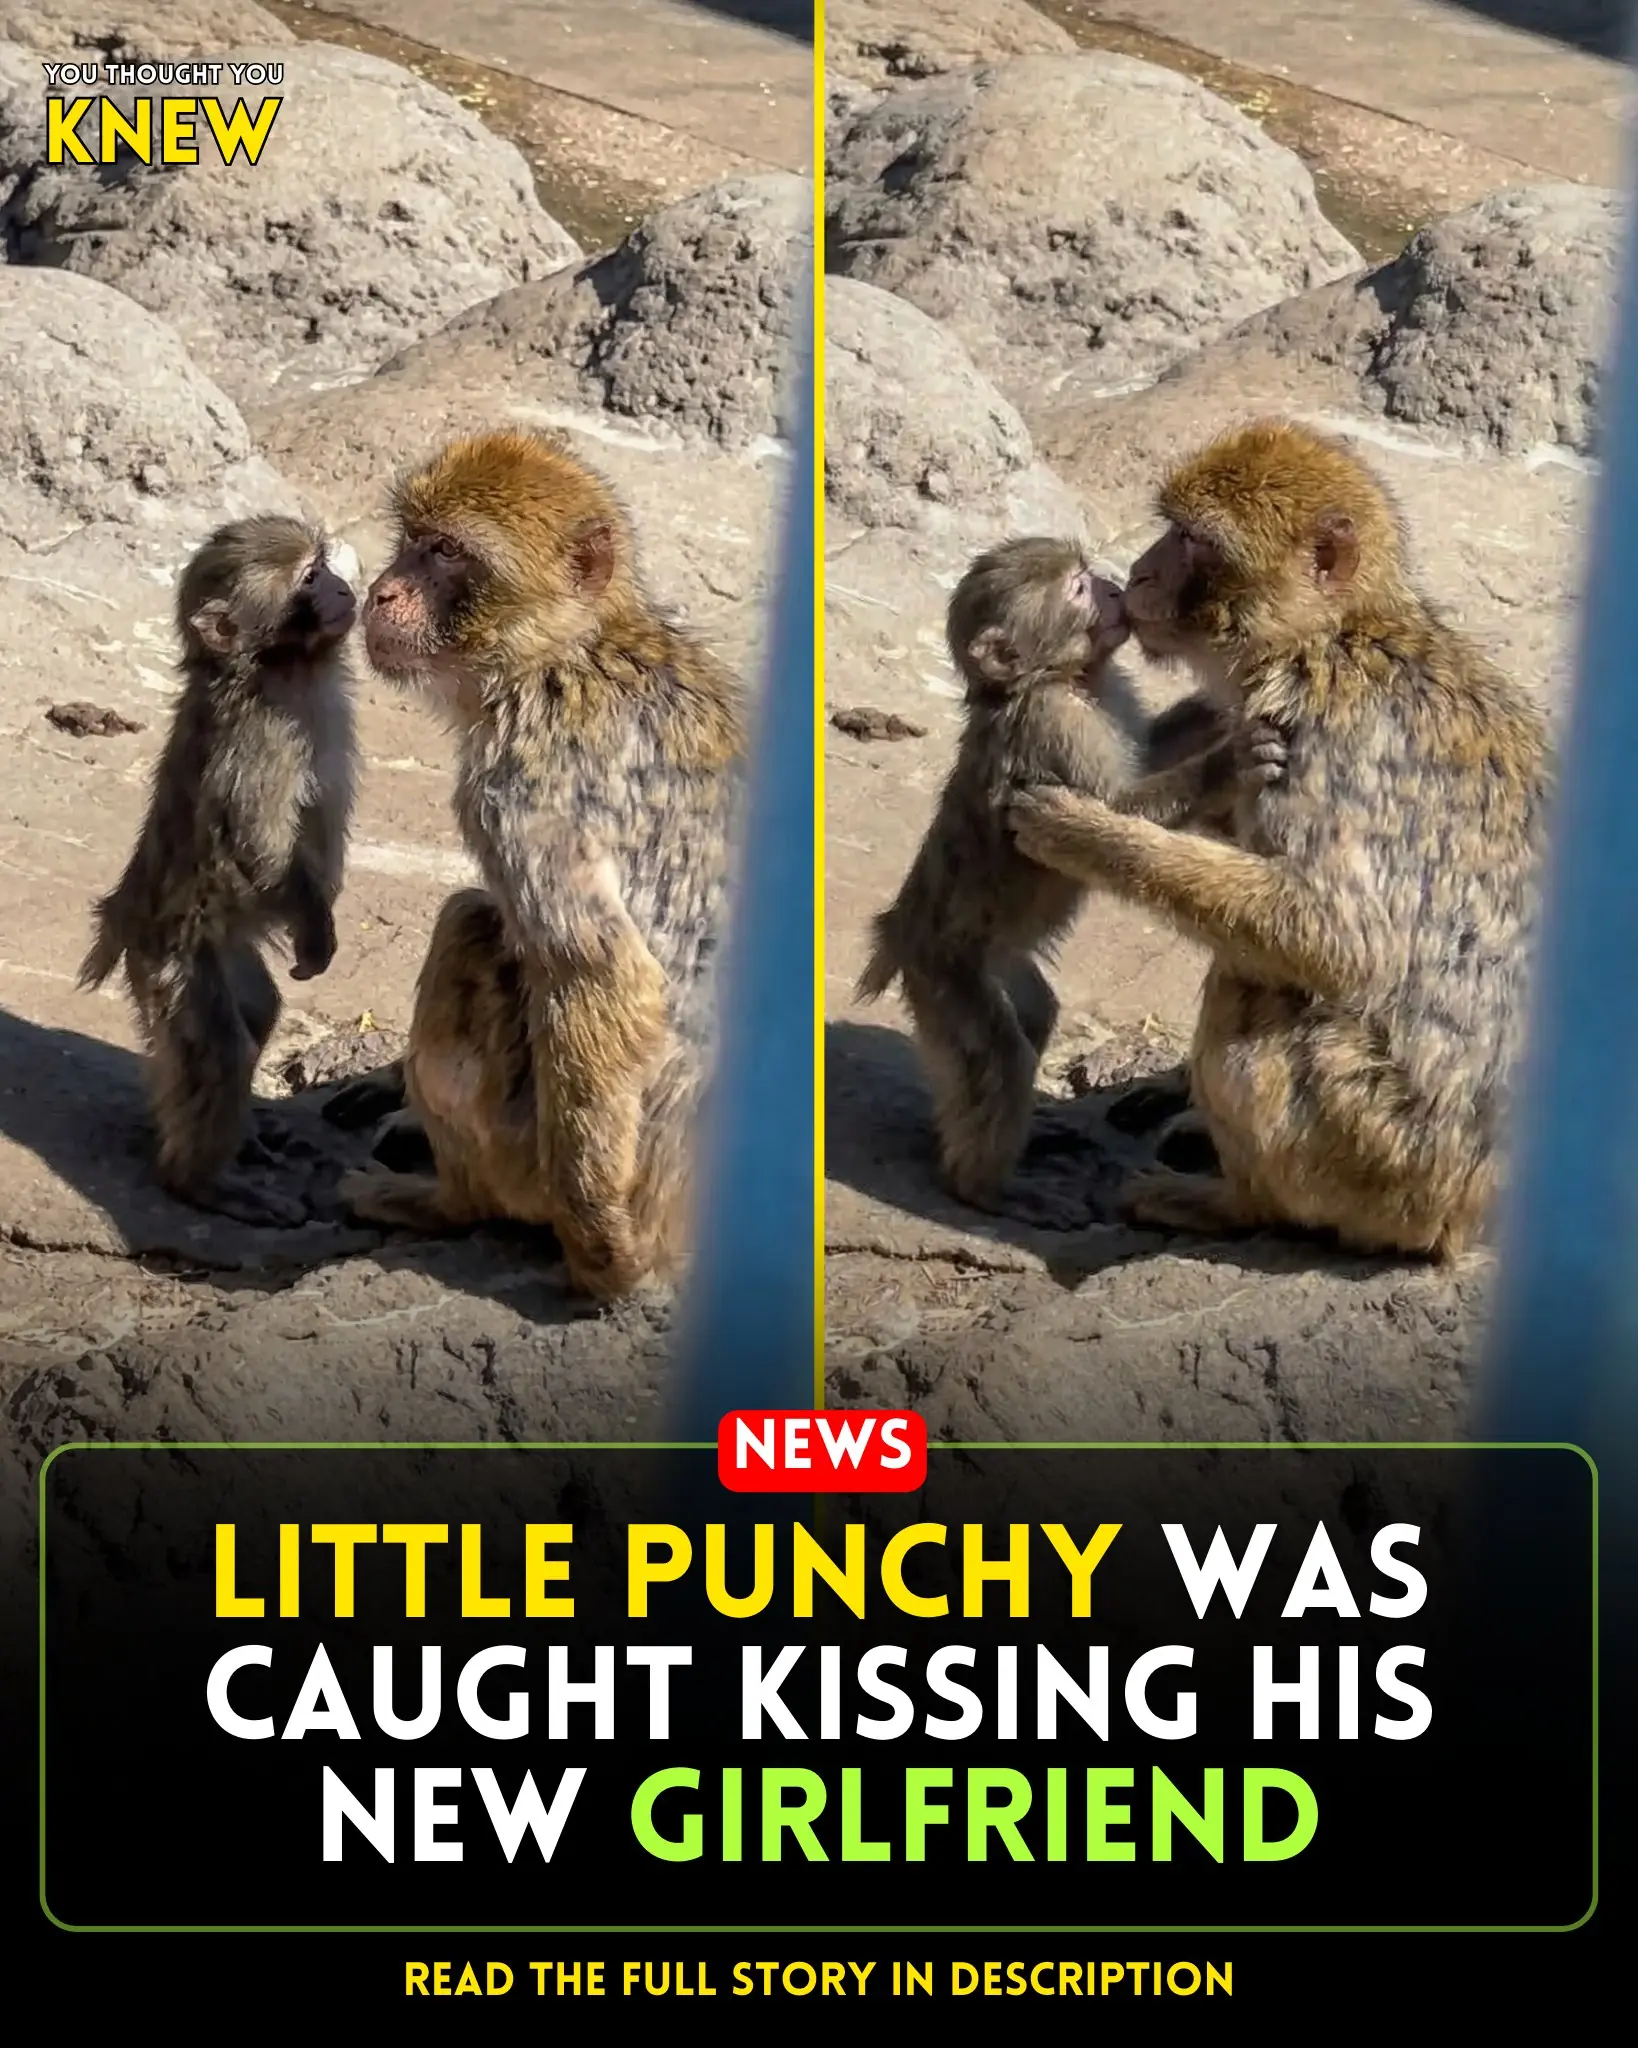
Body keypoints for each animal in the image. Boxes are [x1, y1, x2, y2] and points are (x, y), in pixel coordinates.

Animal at [78, 514, 359, 1228]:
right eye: (309, 579)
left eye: (323, 566)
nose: (346, 588)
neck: (278, 668)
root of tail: (126, 920)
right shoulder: (263, 741)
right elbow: (261, 845)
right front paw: (316, 933)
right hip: (172, 961)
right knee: (221, 1047)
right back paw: (202, 1181)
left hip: (221, 947)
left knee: (256, 1010)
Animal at [326, 427, 745, 1301]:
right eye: (412, 540)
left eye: (447, 553)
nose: (381, 591)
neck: (572, 647)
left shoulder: (521, 780)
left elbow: (601, 973)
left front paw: (601, 1253)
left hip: (519, 1151)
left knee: (470, 921)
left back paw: (447, 1203)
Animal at [854, 534, 1285, 1213]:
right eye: (1079, 590)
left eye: (1091, 578)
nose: (1111, 586)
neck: (1064, 677)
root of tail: (900, 932)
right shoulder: (1056, 723)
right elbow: (1114, 813)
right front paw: (1232, 758)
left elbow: (1150, 753)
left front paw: (1215, 710)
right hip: (948, 975)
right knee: (1000, 1058)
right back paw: (986, 1189)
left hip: (1001, 961)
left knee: (1033, 1016)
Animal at [1005, 418, 1553, 1262]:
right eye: (1169, 530)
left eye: (1193, 542)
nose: (1139, 571)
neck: (1327, 634)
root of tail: (1467, 1219)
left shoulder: (1325, 730)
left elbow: (1340, 940)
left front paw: (1082, 833)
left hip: (1378, 1157)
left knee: (1253, 987)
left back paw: (1237, 1204)